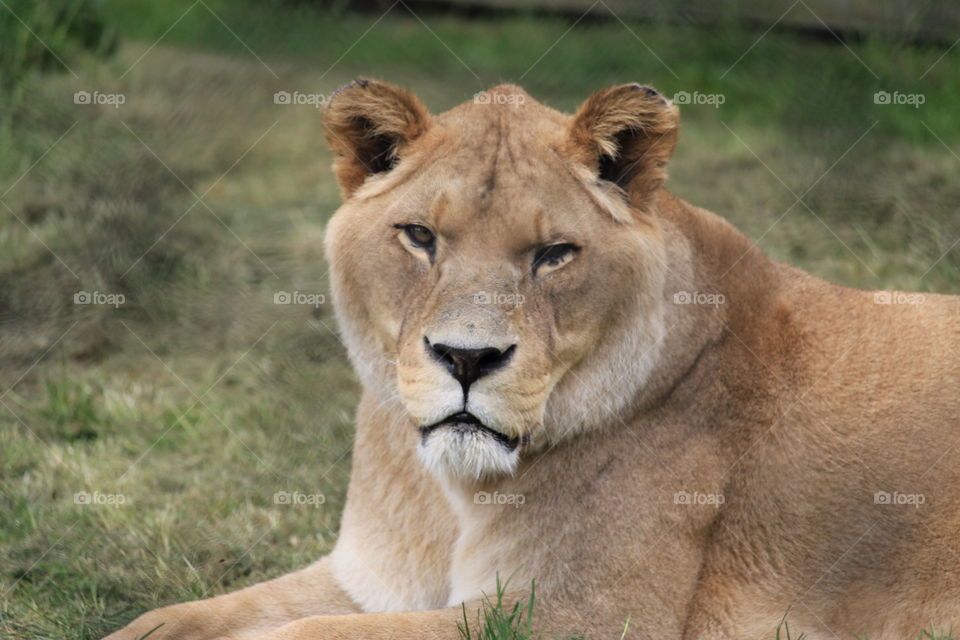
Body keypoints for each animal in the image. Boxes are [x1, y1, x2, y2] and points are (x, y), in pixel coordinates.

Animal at [103, 80, 960, 640]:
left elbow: (311, 635)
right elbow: (180, 618)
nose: (465, 357)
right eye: (420, 237)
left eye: (554, 255)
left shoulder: (577, 616)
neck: (446, 492)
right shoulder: (366, 579)